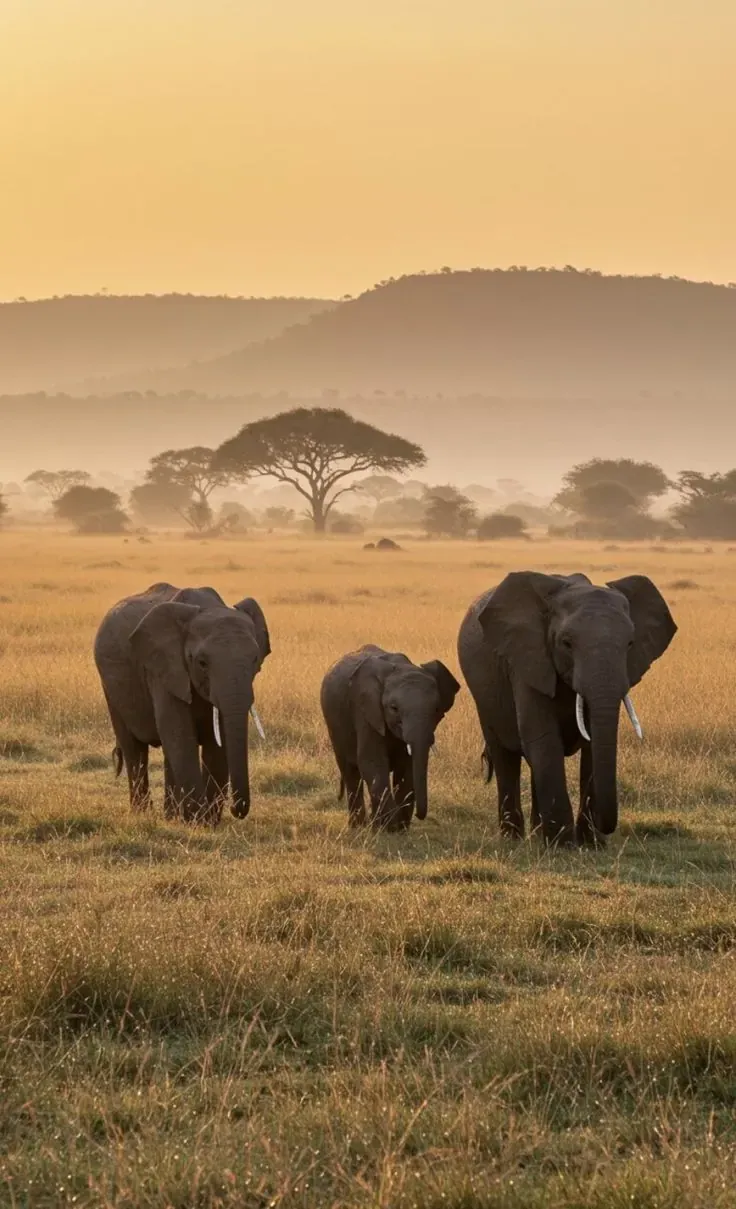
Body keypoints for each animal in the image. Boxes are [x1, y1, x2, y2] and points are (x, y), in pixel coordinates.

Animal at [94, 583, 270, 824]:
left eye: (255, 659)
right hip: (110, 687)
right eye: (202, 663)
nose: (237, 809)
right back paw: (143, 815)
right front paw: (197, 821)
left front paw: (207, 822)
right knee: (134, 748)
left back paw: (170, 817)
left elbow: (216, 742)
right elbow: (179, 733)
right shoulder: (163, 669)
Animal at [320, 645, 460, 830]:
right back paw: (358, 826)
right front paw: (390, 827)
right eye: (394, 708)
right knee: (350, 772)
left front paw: (397, 828)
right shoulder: (366, 711)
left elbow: (407, 769)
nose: (420, 815)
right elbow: (372, 762)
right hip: (334, 726)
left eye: (436, 709)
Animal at [457, 572, 676, 846]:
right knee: (505, 756)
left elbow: (591, 746)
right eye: (567, 643)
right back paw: (513, 839)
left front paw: (590, 846)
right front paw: (563, 845)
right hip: (483, 694)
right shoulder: (527, 660)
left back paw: (537, 834)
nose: (605, 829)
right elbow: (543, 737)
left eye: (630, 643)